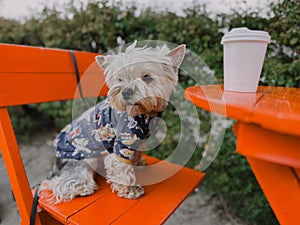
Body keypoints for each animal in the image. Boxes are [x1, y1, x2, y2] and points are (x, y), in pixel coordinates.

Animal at [39, 41, 185, 203]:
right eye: (119, 79)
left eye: (147, 77)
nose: (125, 92)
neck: (143, 113)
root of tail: (56, 158)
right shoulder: (122, 140)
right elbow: (121, 166)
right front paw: (130, 189)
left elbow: (135, 154)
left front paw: (138, 163)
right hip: (83, 157)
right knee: (58, 183)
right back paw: (82, 188)